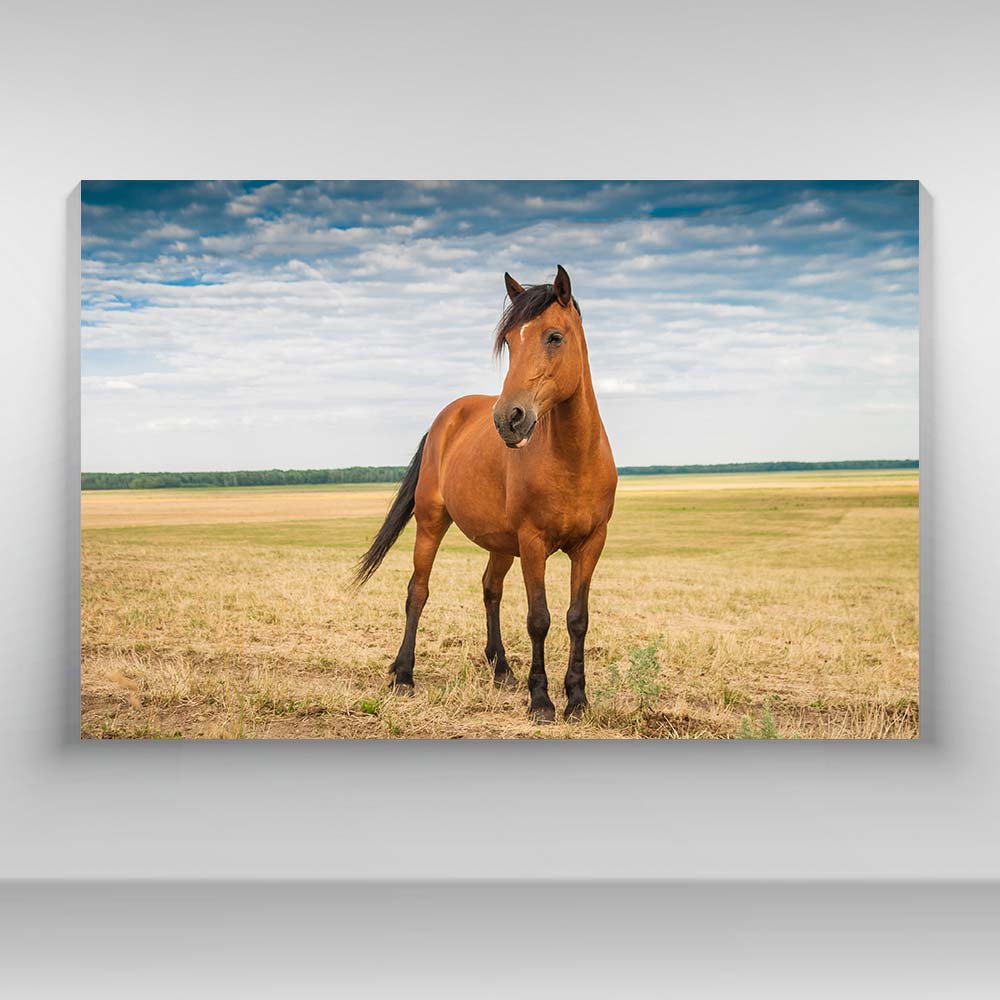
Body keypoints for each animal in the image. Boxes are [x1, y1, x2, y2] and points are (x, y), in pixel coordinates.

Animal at [355, 265, 617, 722]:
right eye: (509, 342)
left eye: (554, 336)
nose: (508, 418)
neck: (574, 457)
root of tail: (446, 417)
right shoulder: (533, 543)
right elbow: (539, 618)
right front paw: (541, 700)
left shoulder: (590, 544)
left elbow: (577, 619)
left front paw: (578, 699)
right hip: (432, 523)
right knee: (417, 591)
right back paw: (404, 674)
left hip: (501, 543)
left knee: (490, 589)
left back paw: (501, 669)